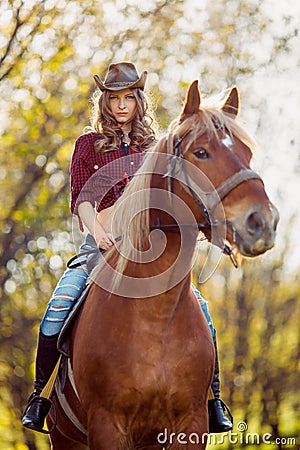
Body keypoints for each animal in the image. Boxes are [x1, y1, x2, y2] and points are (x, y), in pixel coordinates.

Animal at [47, 79, 278, 448]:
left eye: (248, 153)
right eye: (201, 152)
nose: (263, 222)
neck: (154, 317)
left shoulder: (191, 423)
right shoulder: (107, 425)